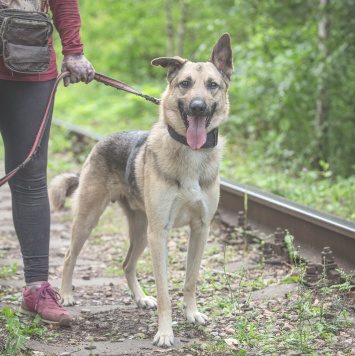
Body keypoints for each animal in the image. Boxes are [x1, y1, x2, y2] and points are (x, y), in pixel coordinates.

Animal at [49, 33, 234, 348]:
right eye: (185, 83)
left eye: (213, 85)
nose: (198, 106)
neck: (190, 153)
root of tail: (100, 141)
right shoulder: (160, 233)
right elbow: (165, 292)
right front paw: (165, 332)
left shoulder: (201, 229)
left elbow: (190, 280)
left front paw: (192, 313)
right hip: (89, 220)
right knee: (68, 257)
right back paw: (66, 295)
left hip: (140, 229)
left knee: (126, 264)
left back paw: (140, 298)